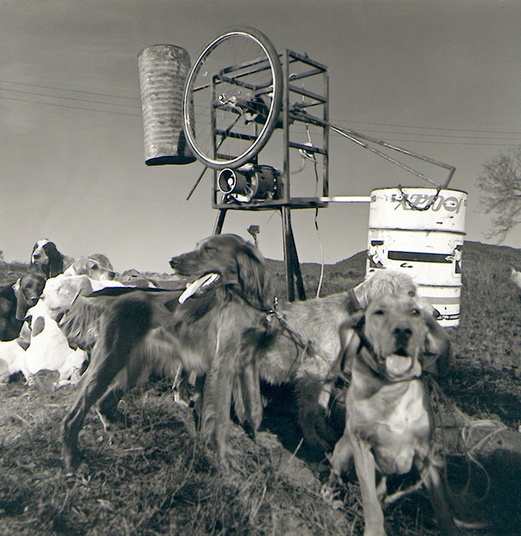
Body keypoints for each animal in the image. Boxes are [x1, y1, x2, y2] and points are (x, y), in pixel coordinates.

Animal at [61, 233, 274, 468]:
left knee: (104, 403)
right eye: (198, 246)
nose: (173, 261)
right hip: (109, 360)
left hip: (135, 368)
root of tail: (116, 298)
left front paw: (259, 442)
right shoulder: (222, 367)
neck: (245, 301)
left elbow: (255, 409)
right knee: (75, 413)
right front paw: (225, 460)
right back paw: (72, 460)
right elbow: (220, 419)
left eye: (209, 249)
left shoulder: (249, 363)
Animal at [330, 296, 456, 532]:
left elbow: (441, 500)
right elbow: (370, 502)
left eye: (415, 312)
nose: (403, 331)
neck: (392, 389)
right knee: (336, 473)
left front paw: (451, 527)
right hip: (344, 451)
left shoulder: (425, 453)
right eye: (379, 312)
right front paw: (374, 530)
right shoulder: (361, 447)